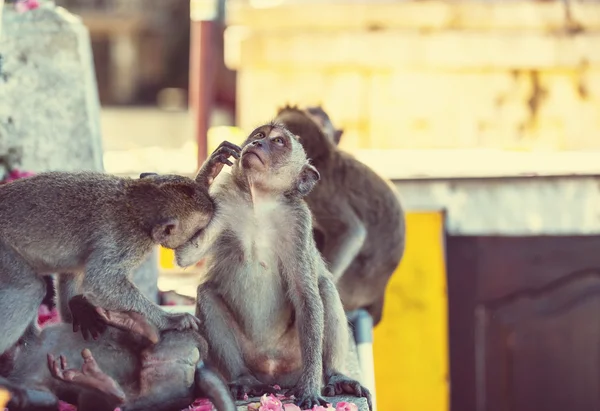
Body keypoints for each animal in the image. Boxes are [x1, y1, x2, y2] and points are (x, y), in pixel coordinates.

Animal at [0, 164, 226, 358]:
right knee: (30, 288)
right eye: (198, 231)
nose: (196, 243)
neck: (133, 202)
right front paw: (169, 320)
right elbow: (101, 281)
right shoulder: (130, 240)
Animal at [2, 292, 237, 411]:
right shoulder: (27, 379)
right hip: (164, 391)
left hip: (174, 344)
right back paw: (102, 384)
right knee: (118, 403)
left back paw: (132, 323)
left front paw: (82, 307)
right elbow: (47, 399)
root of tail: (200, 364)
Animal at [171, 125, 372, 411]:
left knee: (323, 287)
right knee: (207, 293)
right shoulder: (223, 205)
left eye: (277, 141)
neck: (259, 202)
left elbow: (305, 293)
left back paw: (336, 376)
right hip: (247, 356)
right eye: (259, 134)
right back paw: (243, 380)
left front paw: (310, 388)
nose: (257, 143)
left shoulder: (299, 222)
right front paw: (211, 166)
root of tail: (272, 374)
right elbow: (188, 254)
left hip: (292, 357)